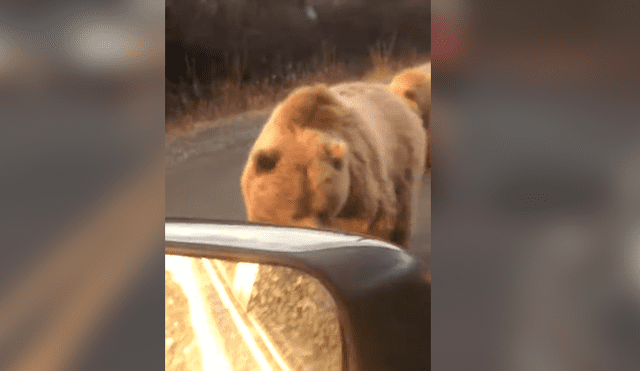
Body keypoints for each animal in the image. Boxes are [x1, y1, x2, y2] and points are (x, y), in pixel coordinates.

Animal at [242, 82, 428, 250]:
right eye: (296, 214)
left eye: (323, 211)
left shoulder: (359, 182)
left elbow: (372, 221)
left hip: (403, 156)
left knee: (403, 204)